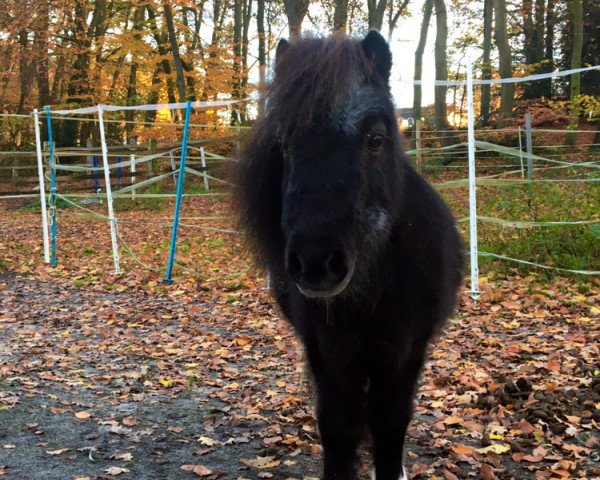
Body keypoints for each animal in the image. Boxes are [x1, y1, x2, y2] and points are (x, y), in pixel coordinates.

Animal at [234, 31, 464, 478]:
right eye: (284, 145)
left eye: (375, 139)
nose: (316, 263)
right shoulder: (329, 352)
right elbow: (339, 427)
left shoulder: (403, 351)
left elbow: (390, 424)